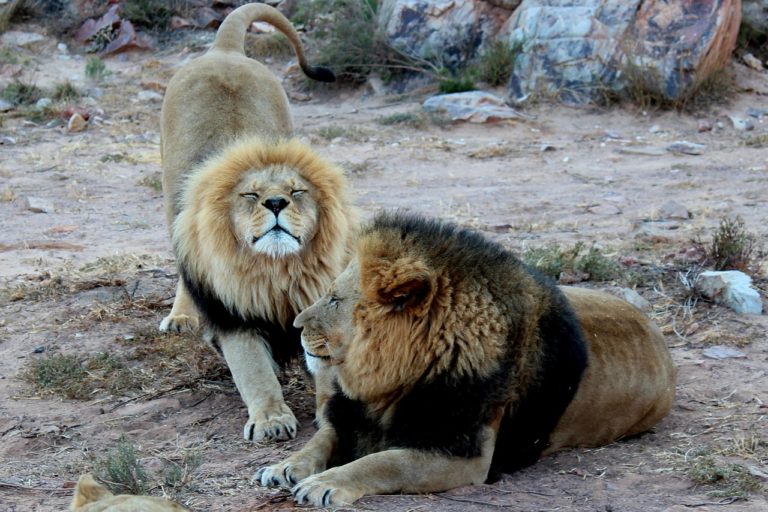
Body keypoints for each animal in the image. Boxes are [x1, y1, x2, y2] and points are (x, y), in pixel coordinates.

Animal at [159, 3, 354, 443]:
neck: (275, 271)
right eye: (249, 195)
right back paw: (181, 317)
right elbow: (253, 370)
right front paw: (271, 419)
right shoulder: (233, 316)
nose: (276, 202)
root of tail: (223, 50)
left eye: (297, 191)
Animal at [255, 213, 677, 506]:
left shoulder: (464, 454)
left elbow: (383, 462)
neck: (386, 384)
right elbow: (320, 440)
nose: (296, 325)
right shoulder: (350, 415)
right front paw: (284, 467)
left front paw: (325, 483)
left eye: (334, 299)